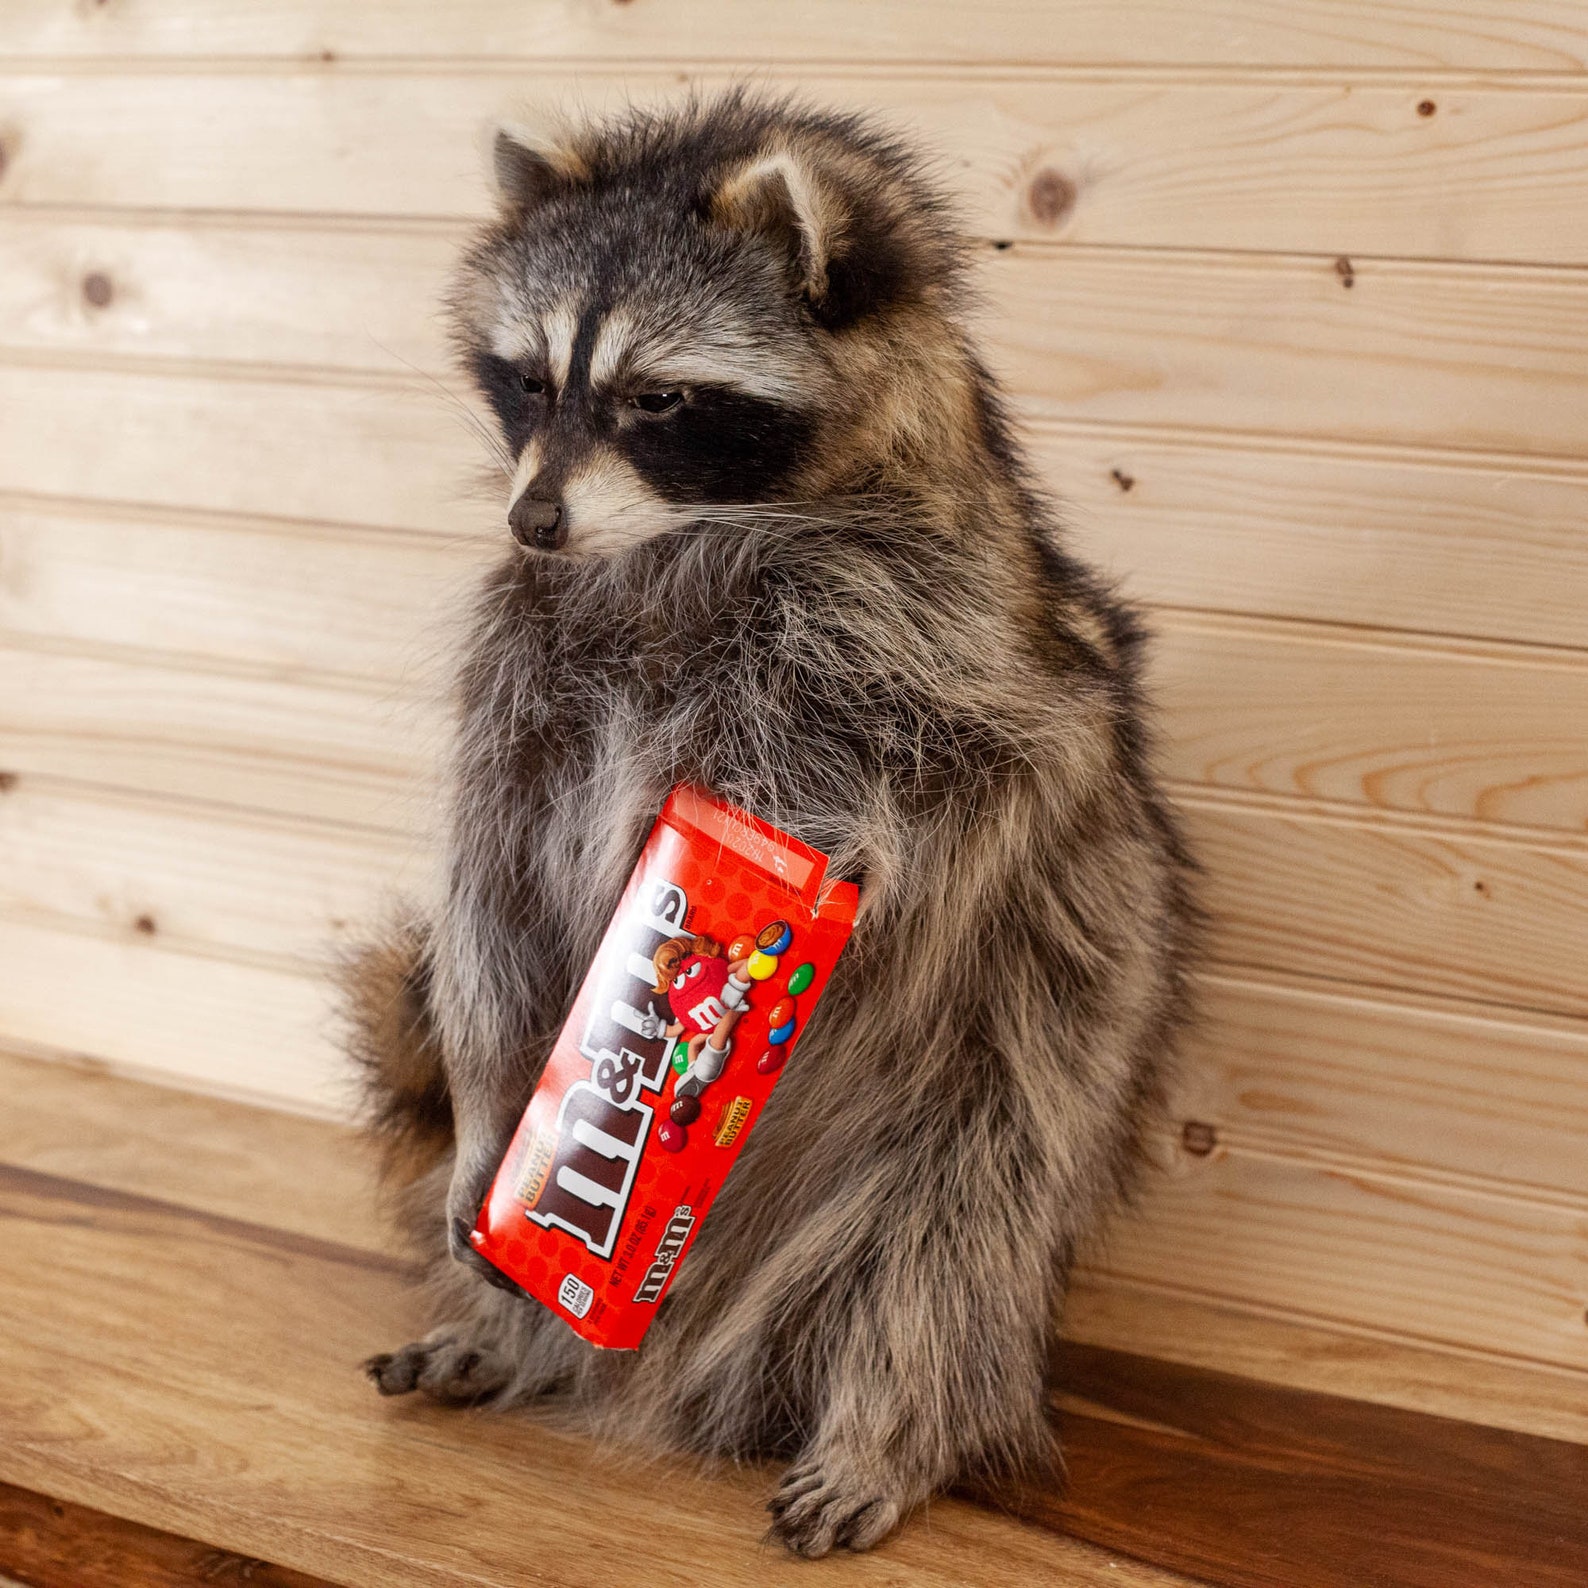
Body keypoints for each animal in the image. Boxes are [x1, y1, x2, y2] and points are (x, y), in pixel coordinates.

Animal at [351, 91, 1195, 1557]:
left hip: (1040, 1043)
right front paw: (488, 1108)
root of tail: (673, 1358)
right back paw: (512, 1327)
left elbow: (918, 818)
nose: (533, 514)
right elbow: (490, 877)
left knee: (957, 1240)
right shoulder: (522, 659)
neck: (671, 535)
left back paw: (886, 1425)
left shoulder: (923, 646)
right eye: (530, 379)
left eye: (658, 397)